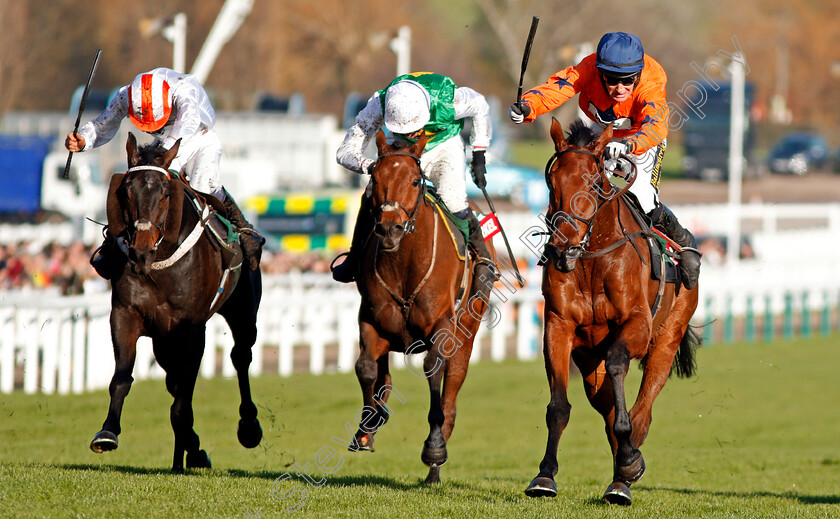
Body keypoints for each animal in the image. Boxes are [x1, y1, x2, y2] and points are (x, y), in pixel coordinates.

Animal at [88, 133, 262, 472]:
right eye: (125, 191)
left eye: (166, 193)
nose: (140, 250)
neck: (160, 263)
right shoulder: (126, 314)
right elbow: (122, 377)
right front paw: (107, 432)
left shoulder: (193, 328)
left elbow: (184, 397)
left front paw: (189, 447)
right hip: (163, 339)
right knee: (173, 378)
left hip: (242, 311)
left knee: (240, 356)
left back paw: (248, 426)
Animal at [352, 129, 496, 484]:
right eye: (374, 178)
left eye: (416, 181)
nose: (389, 228)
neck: (404, 264)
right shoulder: (370, 319)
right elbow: (366, 367)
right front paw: (367, 428)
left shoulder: (443, 325)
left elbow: (433, 370)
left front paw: (434, 449)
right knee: (382, 373)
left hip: (467, 334)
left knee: (452, 391)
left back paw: (435, 467)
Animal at [524, 120, 704, 506]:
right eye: (552, 183)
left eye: (593, 183)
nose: (563, 250)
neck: (591, 260)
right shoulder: (558, 326)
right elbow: (558, 406)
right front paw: (545, 476)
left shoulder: (637, 323)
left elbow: (621, 365)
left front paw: (629, 460)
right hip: (590, 361)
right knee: (606, 406)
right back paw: (623, 467)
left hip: (667, 339)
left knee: (643, 410)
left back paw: (625, 472)